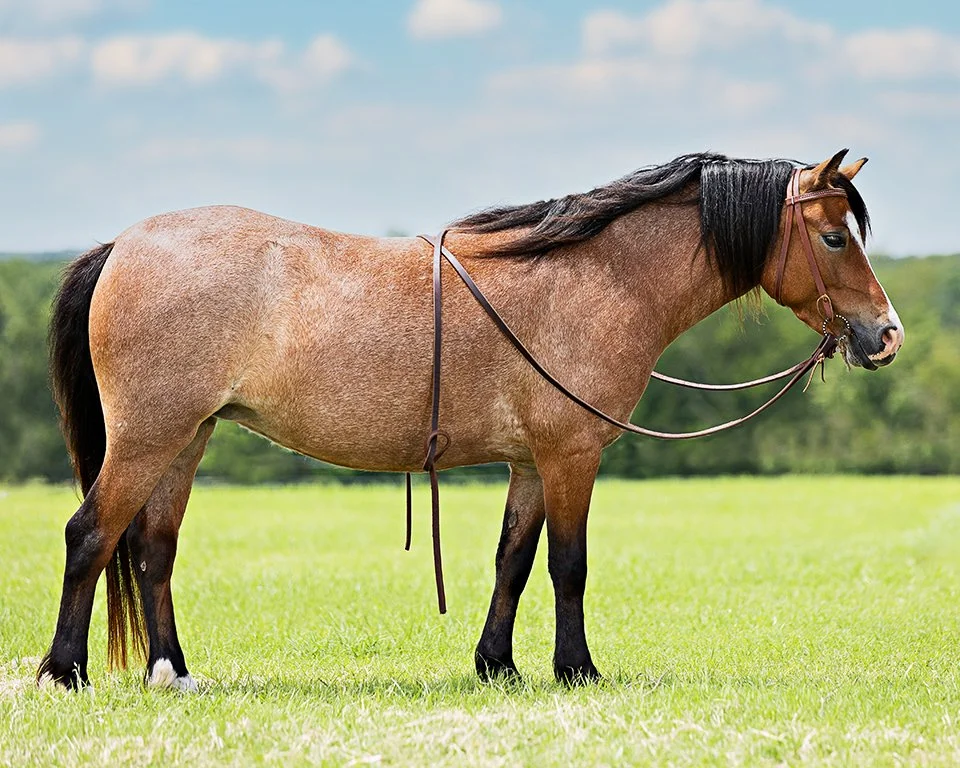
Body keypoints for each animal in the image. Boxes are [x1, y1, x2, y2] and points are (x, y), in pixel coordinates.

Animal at [38, 149, 903, 690]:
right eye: (833, 236)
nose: (886, 334)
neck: (596, 278)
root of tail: (123, 247)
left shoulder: (530, 463)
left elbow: (511, 563)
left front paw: (498, 665)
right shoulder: (571, 457)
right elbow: (568, 566)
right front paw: (577, 669)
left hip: (187, 438)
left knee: (152, 547)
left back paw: (174, 672)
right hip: (148, 438)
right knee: (91, 534)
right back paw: (62, 671)